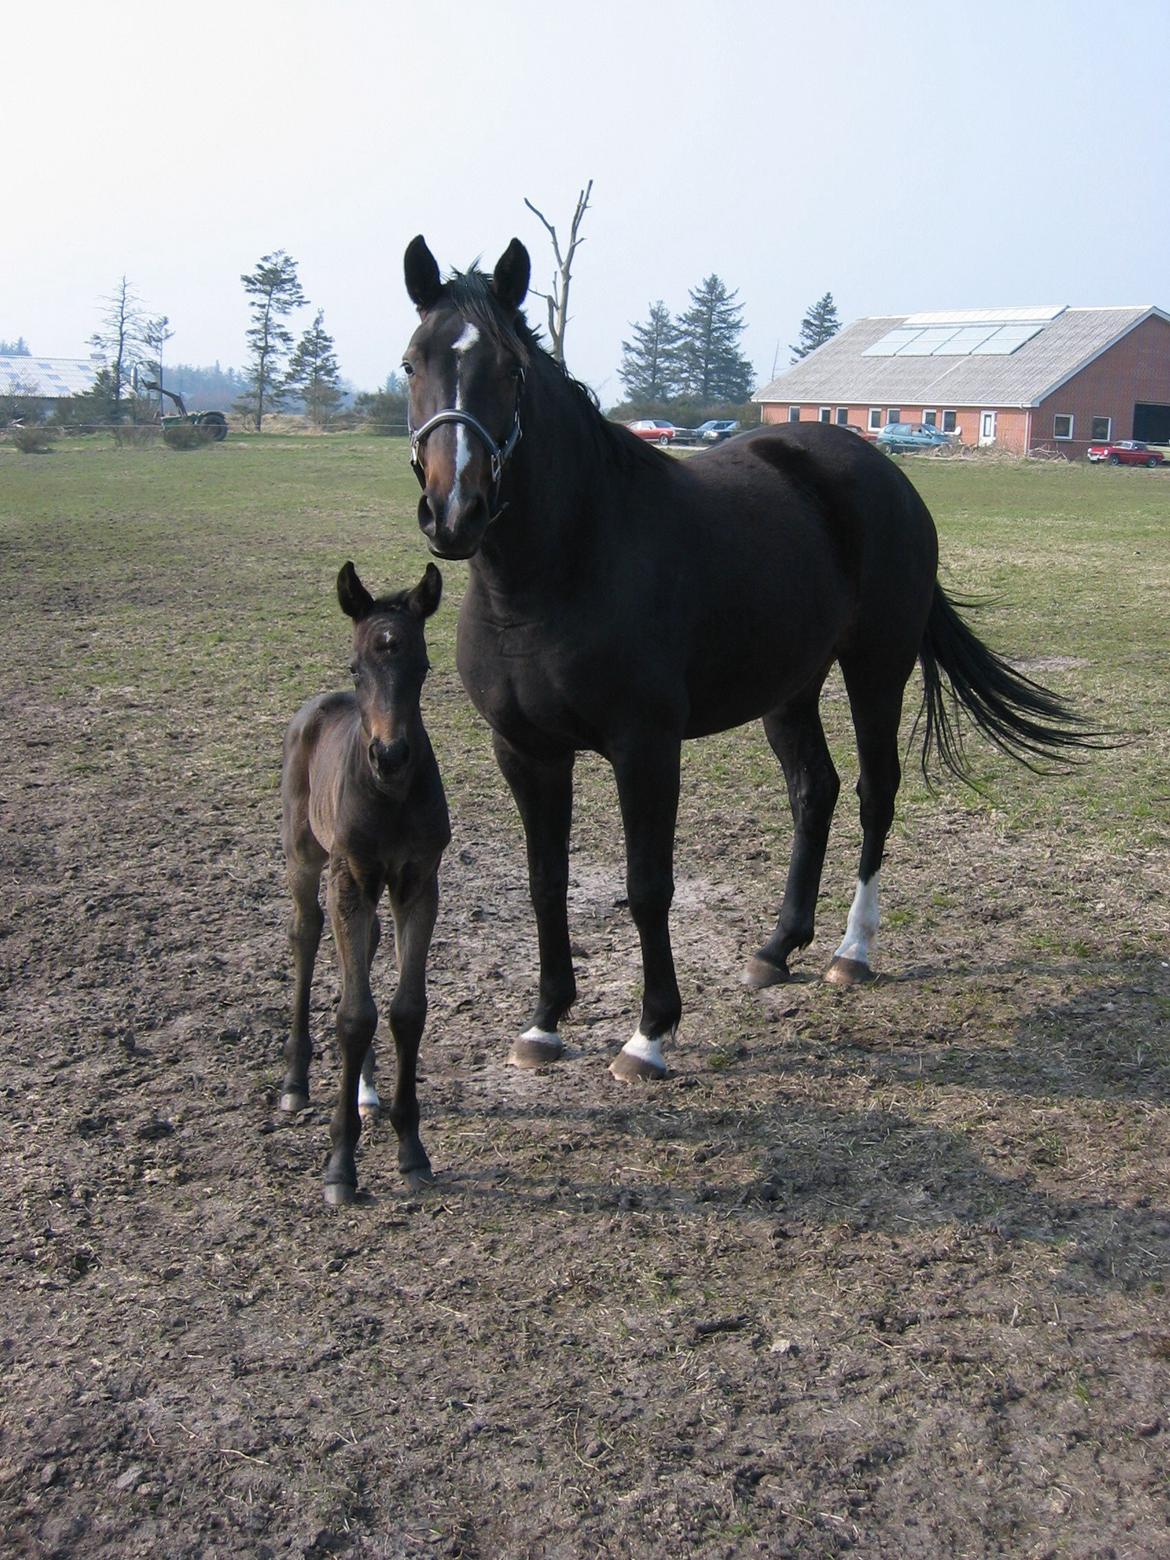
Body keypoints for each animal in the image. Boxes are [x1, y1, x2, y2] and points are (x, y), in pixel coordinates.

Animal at [279, 561, 452, 1204]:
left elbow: (404, 1010)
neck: (391, 798)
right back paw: (296, 1081)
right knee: (305, 936)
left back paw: (367, 1092)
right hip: (307, 858)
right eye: (358, 666)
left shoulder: (417, 882)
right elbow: (354, 1016)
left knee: (367, 948)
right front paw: (340, 1167)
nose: (391, 755)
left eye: (422, 666)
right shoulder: (347, 879)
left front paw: (411, 1149)